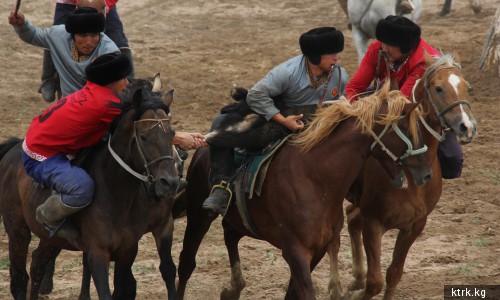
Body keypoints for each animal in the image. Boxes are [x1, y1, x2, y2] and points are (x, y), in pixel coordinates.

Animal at [0, 74, 182, 300]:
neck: (117, 195)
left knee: (37, 263)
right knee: (19, 278)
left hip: (51, 238)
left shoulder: (129, 249)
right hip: (17, 227)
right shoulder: (97, 252)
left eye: (172, 133)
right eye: (143, 136)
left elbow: (129, 286)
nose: (170, 182)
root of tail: (14, 150)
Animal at [177, 82, 434, 300]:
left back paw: (233, 288)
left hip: (239, 219)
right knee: (186, 263)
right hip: (198, 214)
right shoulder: (296, 251)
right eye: (406, 128)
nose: (427, 174)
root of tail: (201, 150)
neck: (315, 179)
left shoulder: (318, 250)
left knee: (230, 233)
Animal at [328, 52, 476, 298]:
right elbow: (375, 281)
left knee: (351, 217)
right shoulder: (373, 221)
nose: (467, 127)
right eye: (438, 88)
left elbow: (394, 274)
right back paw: (335, 286)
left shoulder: (415, 225)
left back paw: (355, 278)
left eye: (467, 87)